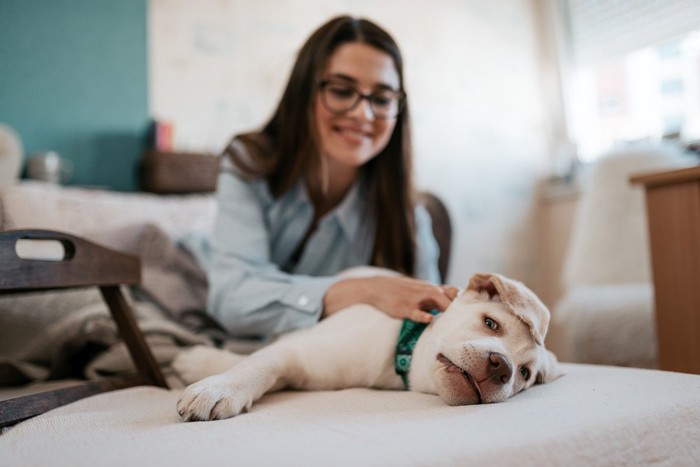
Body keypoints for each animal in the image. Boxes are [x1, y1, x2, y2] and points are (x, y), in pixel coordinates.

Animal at [176, 272, 564, 422]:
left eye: (525, 375)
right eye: (490, 323)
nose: (503, 367)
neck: (402, 354)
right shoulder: (294, 351)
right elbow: (256, 365)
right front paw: (218, 387)